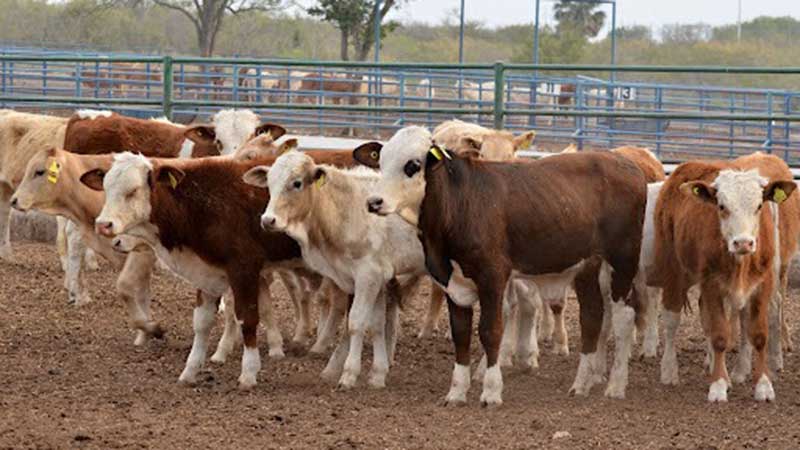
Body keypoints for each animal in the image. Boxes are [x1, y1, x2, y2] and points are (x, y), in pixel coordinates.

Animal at [244, 149, 425, 389]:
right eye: (270, 183)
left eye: (297, 183)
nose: (268, 220)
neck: (350, 209)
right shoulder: (376, 278)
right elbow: (376, 324)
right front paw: (377, 375)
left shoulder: (367, 276)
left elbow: (356, 322)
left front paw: (349, 375)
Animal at [355, 126, 647, 405]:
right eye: (381, 162)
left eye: (412, 165)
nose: (374, 202)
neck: (460, 203)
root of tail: (625, 163)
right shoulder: (453, 282)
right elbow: (461, 333)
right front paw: (456, 392)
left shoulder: (492, 276)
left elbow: (490, 330)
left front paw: (491, 391)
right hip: (587, 265)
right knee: (592, 316)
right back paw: (581, 384)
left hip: (622, 261)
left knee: (624, 318)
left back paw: (616, 385)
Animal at [652, 157, 797, 402]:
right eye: (721, 206)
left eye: (759, 206)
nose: (743, 243)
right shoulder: (712, 285)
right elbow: (720, 335)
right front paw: (718, 386)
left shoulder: (762, 285)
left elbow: (758, 335)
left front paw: (763, 385)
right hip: (673, 268)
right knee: (672, 319)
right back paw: (669, 371)